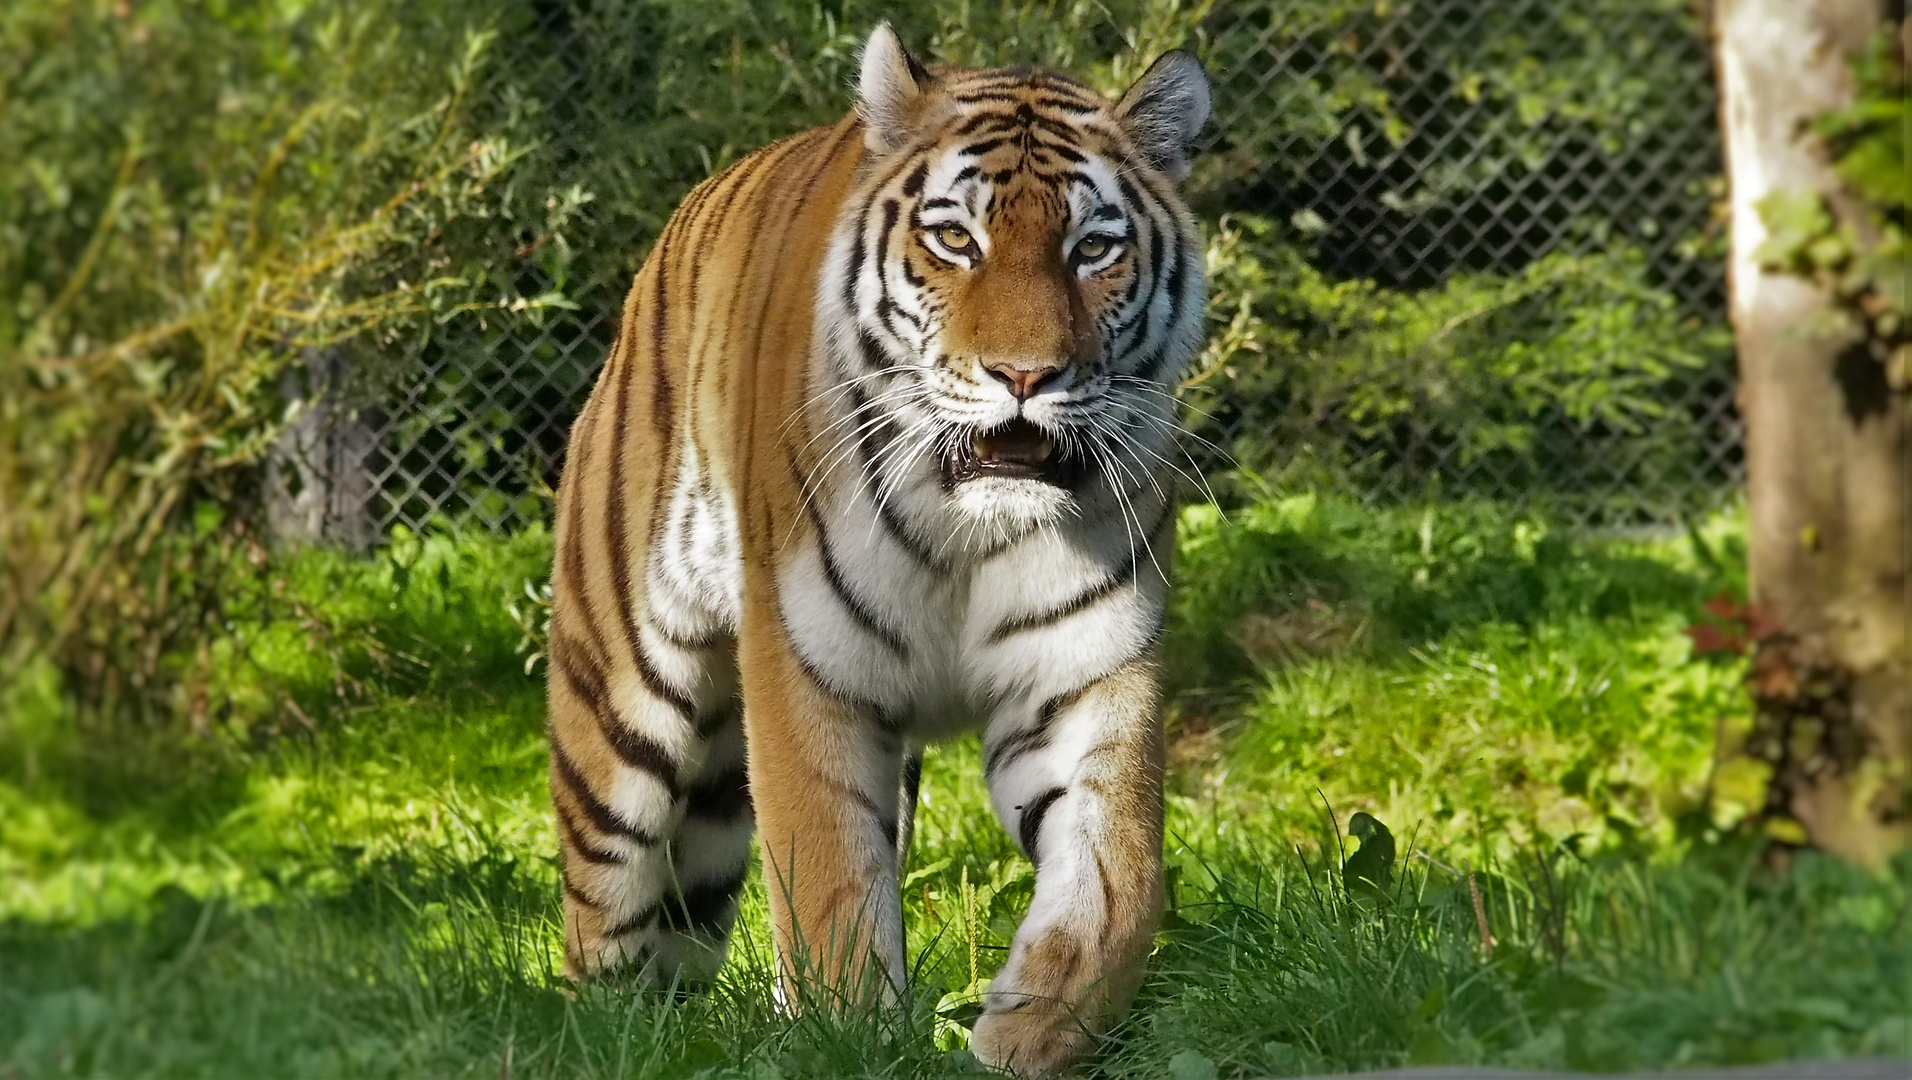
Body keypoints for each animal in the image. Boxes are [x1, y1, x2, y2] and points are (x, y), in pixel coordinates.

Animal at [543, 25, 1208, 1078]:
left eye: (1094, 248)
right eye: (956, 240)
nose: (1024, 375)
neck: (973, 525)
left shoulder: (1082, 675)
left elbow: (1120, 881)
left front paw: (1033, 1028)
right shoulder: (807, 666)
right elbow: (827, 885)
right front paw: (852, 1039)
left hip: (712, 804)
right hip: (618, 710)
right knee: (602, 932)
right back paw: (608, 1037)